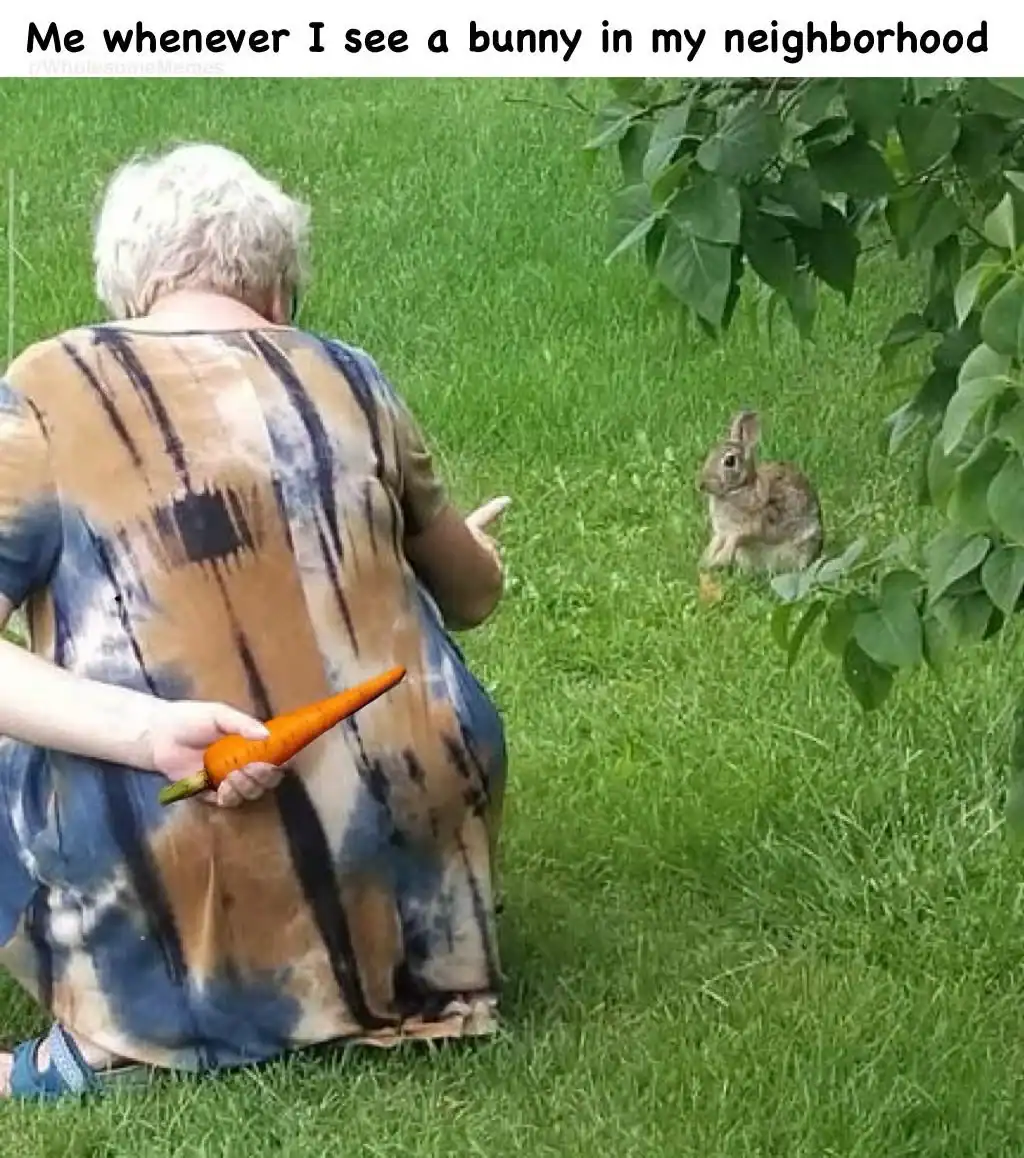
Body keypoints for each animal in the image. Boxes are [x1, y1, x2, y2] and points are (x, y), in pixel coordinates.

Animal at [696, 409, 823, 574]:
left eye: (729, 461)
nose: (701, 484)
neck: (739, 488)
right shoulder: (722, 532)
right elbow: (716, 543)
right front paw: (705, 562)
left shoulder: (747, 527)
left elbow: (736, 539)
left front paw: (719, 560)